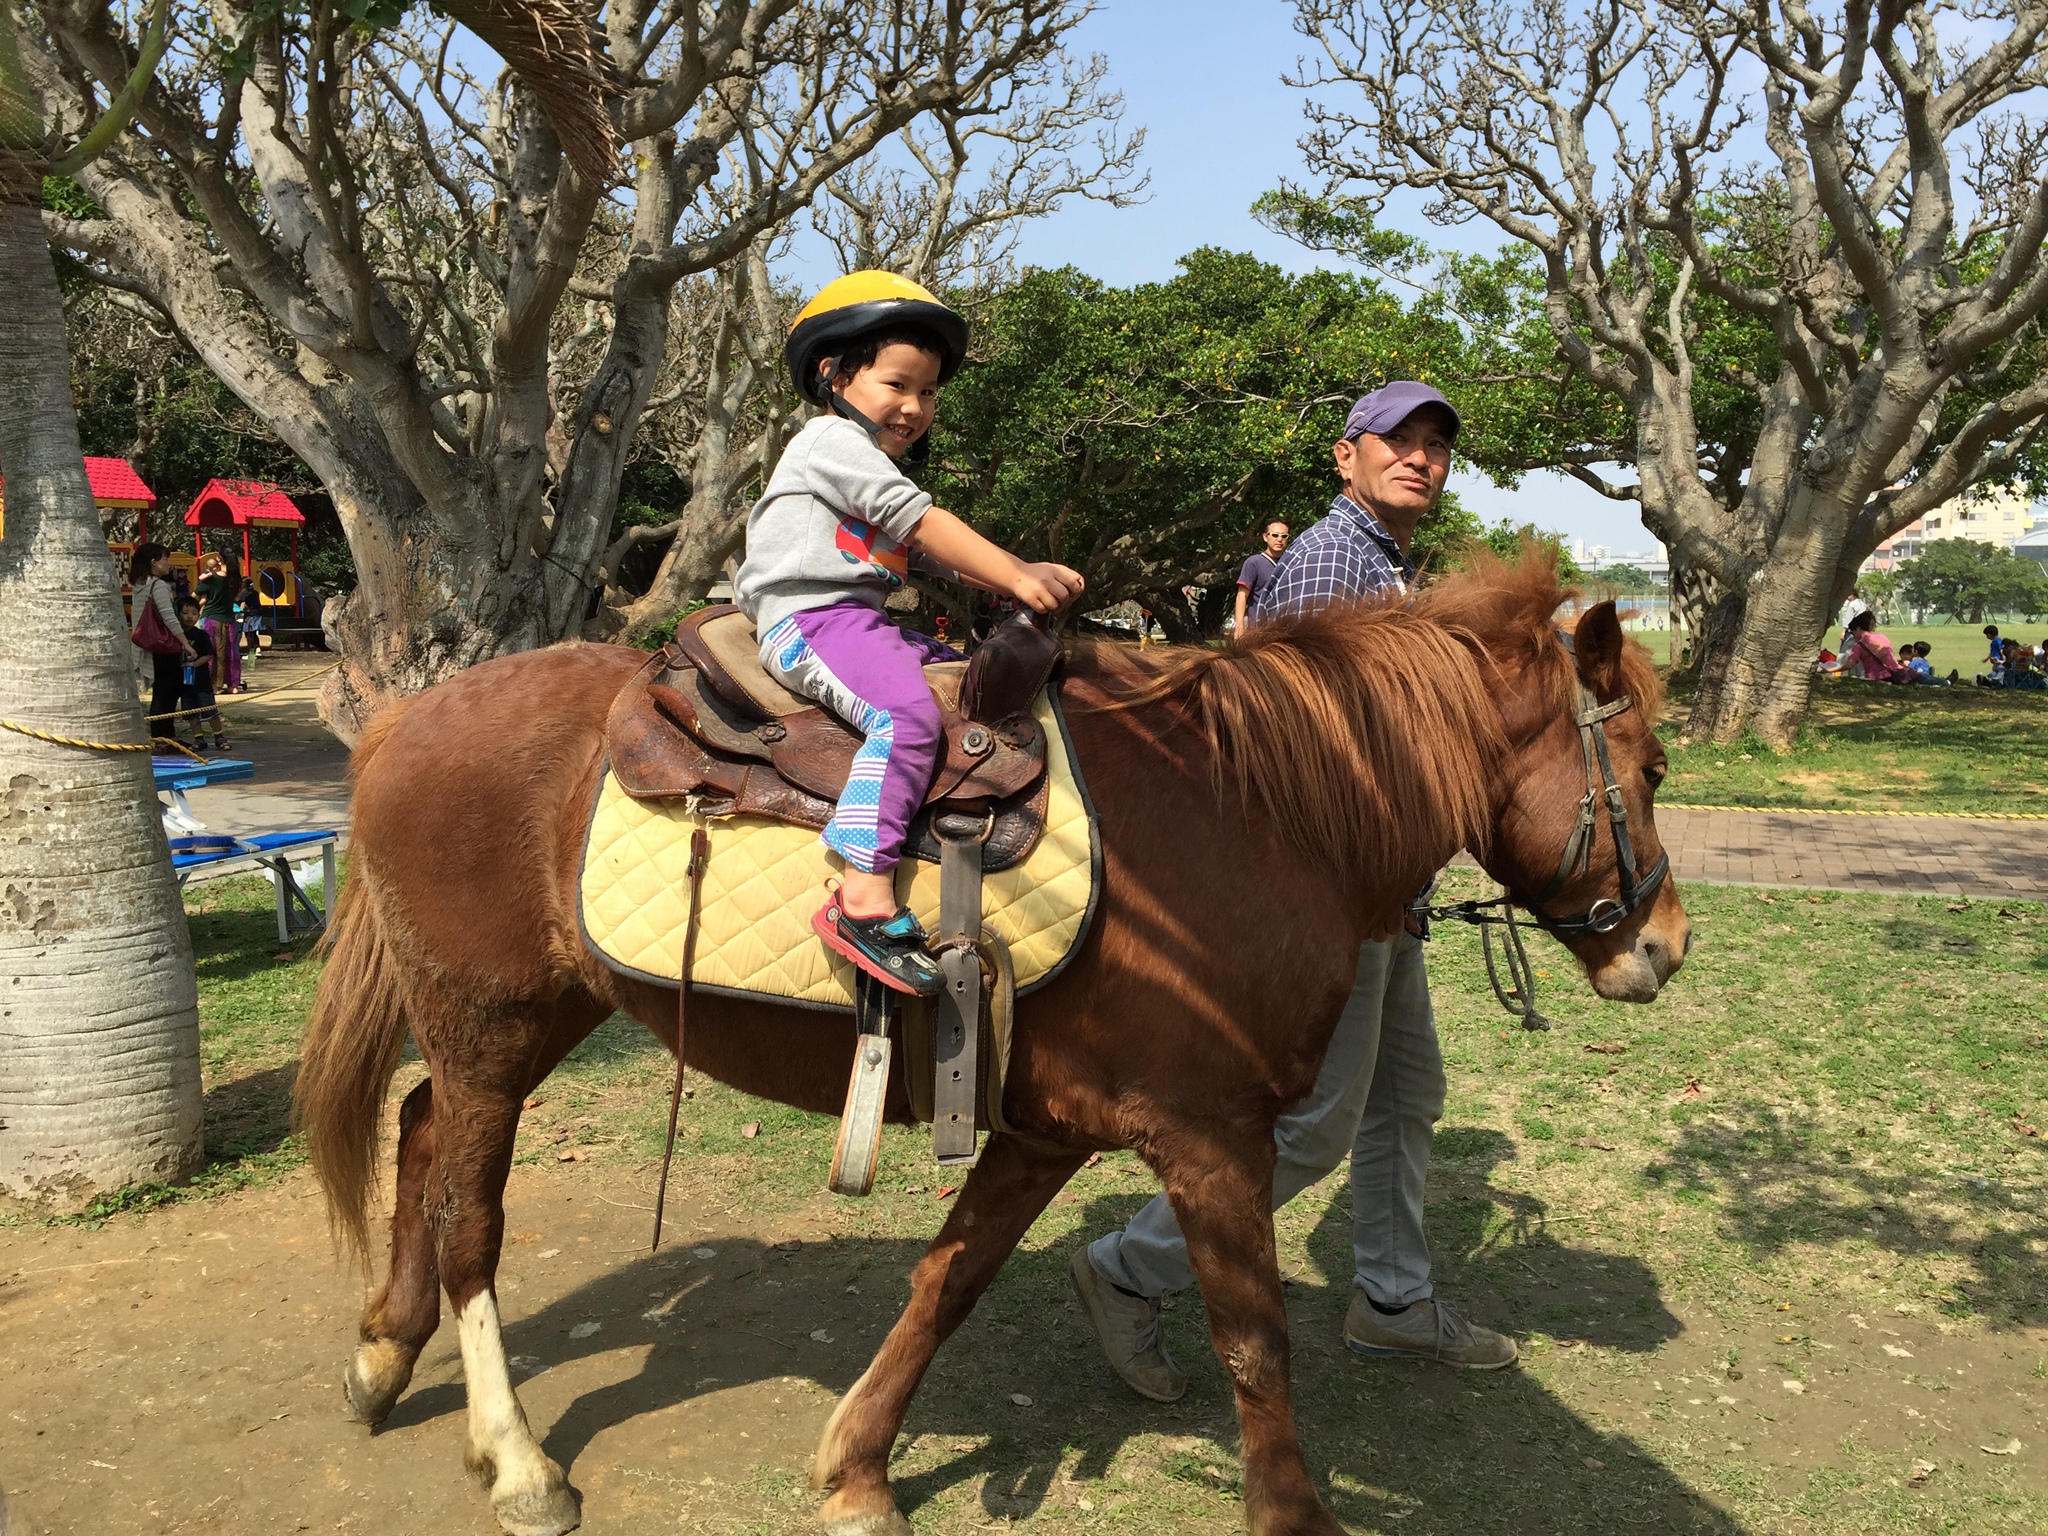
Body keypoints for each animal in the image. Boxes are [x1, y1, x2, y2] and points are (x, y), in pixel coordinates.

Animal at [296, 552, 1687, 1536]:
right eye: (1653, 764)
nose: (1664, 944)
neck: (1256, 813)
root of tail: (405, 719)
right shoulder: (1210, 1136)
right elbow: (1251, 1335)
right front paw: (1292, 1515)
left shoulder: (1038, 1130)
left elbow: (946, 1283)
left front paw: (857, 1471)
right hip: (492, 1021)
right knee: (470, 1213)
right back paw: (518, 1461)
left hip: (533, 1013)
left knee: (418, 1131)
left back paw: (380, 1355)